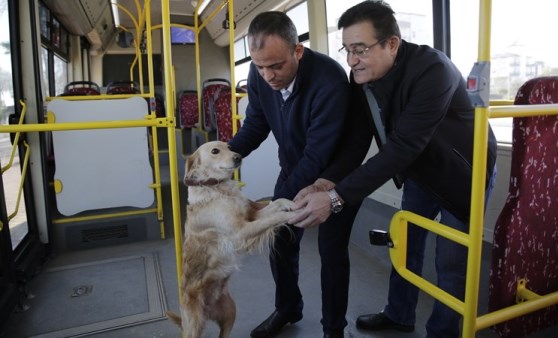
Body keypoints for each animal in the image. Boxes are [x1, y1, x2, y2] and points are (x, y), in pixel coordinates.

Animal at [166, 141, 298, 338]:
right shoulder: (241, 231)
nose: (238, 157)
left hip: (230, 313)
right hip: (194, 327)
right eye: (215, 151)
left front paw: (288, 203)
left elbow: (274, 204)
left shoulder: (250, 216)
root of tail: (208, 310)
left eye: (229, 146)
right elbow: (273, 218)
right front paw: (291, 214)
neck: (216, 187)